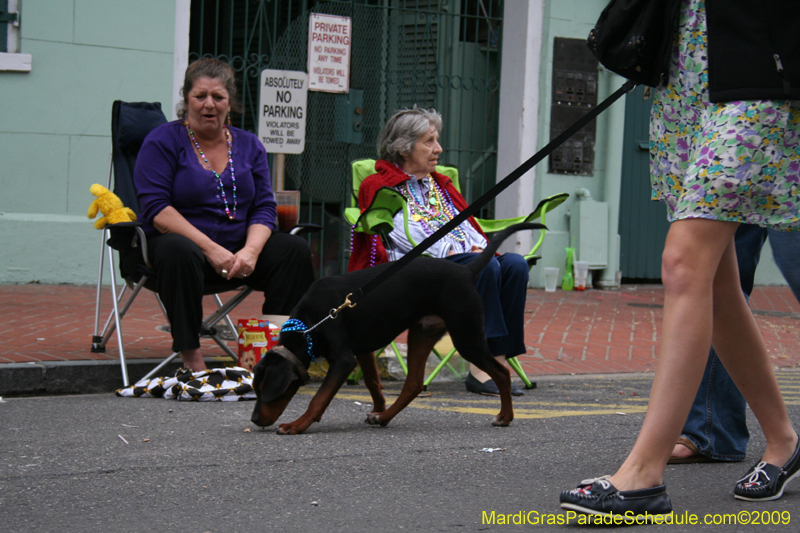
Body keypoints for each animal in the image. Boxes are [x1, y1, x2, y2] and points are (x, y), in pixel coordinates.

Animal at [250, 220, 544, 432]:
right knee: (413, 384)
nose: (254, 420)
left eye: (266, 389)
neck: (309, 325)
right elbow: (373, 383)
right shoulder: (362, 351)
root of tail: (466, 271)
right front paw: (378, 409)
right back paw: (384, 418)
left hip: (466, 335)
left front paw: (297, 425)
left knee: (502, 373)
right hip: (423, 333)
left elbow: (319, 398)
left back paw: (504, 417)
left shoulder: (344, 359)